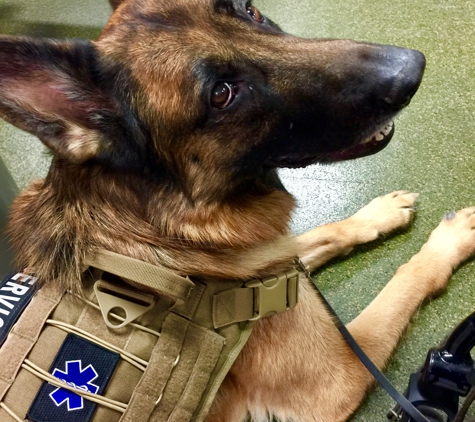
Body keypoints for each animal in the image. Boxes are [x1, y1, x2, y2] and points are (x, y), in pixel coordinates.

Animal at [0, 0, 475, 422]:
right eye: (222, 94)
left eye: (251, 10)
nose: (411, 67)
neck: (156, 224)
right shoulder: (340, 373)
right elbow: (407, 278)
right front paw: (450, 241)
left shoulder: (271, 259)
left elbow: (326, 231)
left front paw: (377, 214)